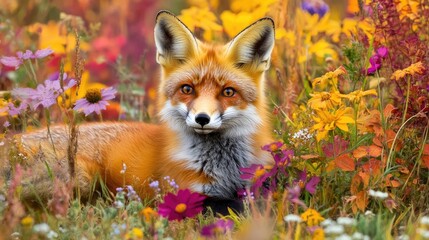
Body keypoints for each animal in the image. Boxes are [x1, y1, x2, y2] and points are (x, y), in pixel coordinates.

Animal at [7, 10, 274, 206]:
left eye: (228, 92)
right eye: (187, 89)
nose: (202, 118)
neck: (225, 169)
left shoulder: (257, 183)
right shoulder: (187, 194)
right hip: (82, 176)